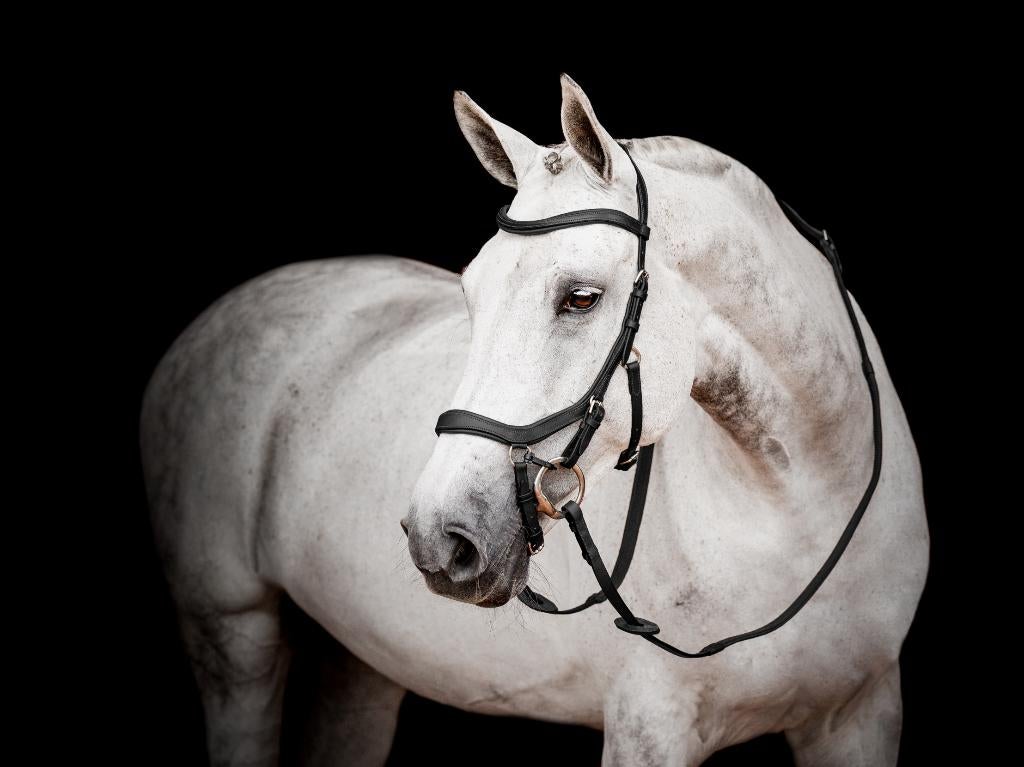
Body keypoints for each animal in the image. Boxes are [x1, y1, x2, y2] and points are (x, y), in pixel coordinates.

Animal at [140, 74, 929, 766]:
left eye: (581, 297)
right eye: (470, 289)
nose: (441, 536)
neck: (796, 511)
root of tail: (213, 322)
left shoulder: (862, 712)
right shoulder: (651, 725)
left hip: (358, 661)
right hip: (232, 635)